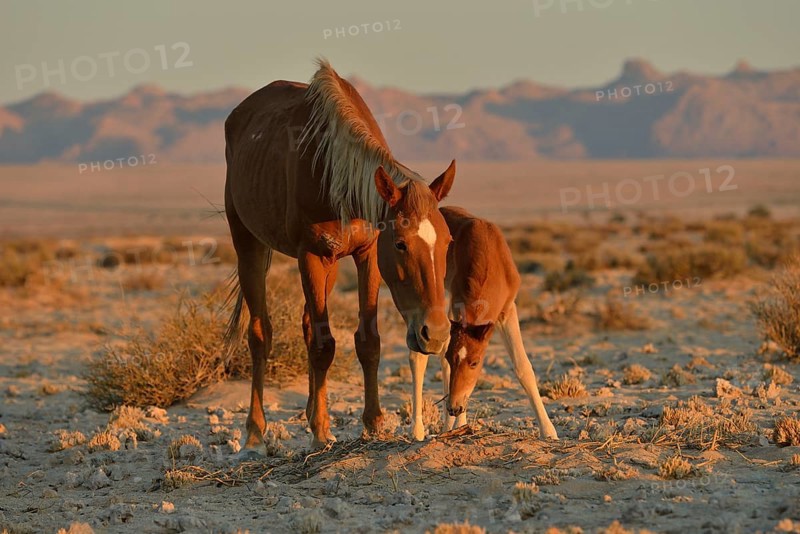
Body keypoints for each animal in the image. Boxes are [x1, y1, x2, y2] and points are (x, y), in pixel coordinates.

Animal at [223, 59, 457, 451]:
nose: (436, 334)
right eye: (400, 244)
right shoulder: (311, 256)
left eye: (448, 242)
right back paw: (255, 431)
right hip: (248, 242)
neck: (335, 174)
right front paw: (320, 431)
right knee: (260, 333)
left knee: (306, 324)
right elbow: (323, 344)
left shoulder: (366, 255)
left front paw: (373, 422)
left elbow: (367, 340)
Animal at [407, 206, 558, 441]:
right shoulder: (456, 307)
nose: (454, 407)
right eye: (456, 359)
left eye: (475, 362)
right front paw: (460, 424)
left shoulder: (507, 310)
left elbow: (523, 367)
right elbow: (443, 361)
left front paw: (549, 432)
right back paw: (419, 431)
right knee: (418, 356)